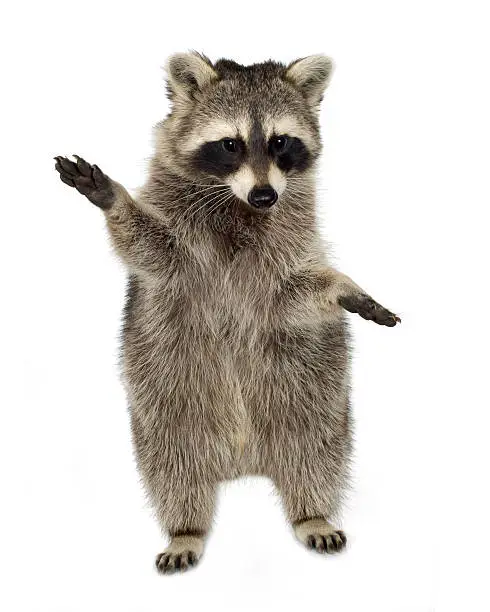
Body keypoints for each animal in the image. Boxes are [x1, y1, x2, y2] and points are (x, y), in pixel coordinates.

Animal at [53, 52, 400, 572]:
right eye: (229, 144)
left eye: (280, 142)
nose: (264, 195)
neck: (238, 204)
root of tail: (244, 460)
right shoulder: (179, 249)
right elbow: (149, 247)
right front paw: (114, 198)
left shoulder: (284, 249)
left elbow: (294, 293)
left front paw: (342, 286)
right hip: (164, 388)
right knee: (172, 462)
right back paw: (186, 527)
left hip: (313, 384)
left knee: (316, 447)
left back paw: (311, 511)